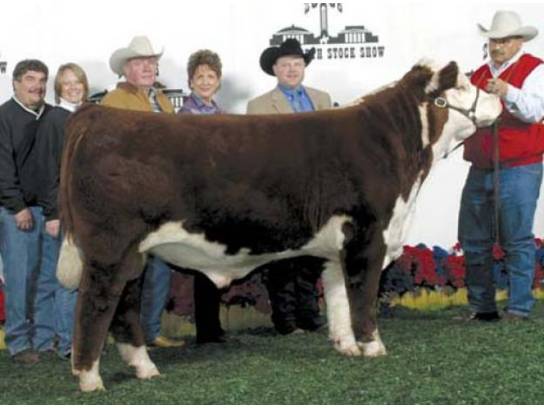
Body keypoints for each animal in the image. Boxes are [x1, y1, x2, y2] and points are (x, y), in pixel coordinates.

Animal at [57, 59, 501, 391]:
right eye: (463, 85)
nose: (498, 97)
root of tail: (97, 114)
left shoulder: (339, 245)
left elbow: (337, 295)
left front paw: (345, 346)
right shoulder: (368, 234)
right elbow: (362, 295)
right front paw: (373, 347)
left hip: (135, 253)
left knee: (125, 306)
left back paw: (144, 368)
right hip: (109, 248)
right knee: (95, 304)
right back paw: (90, 378)